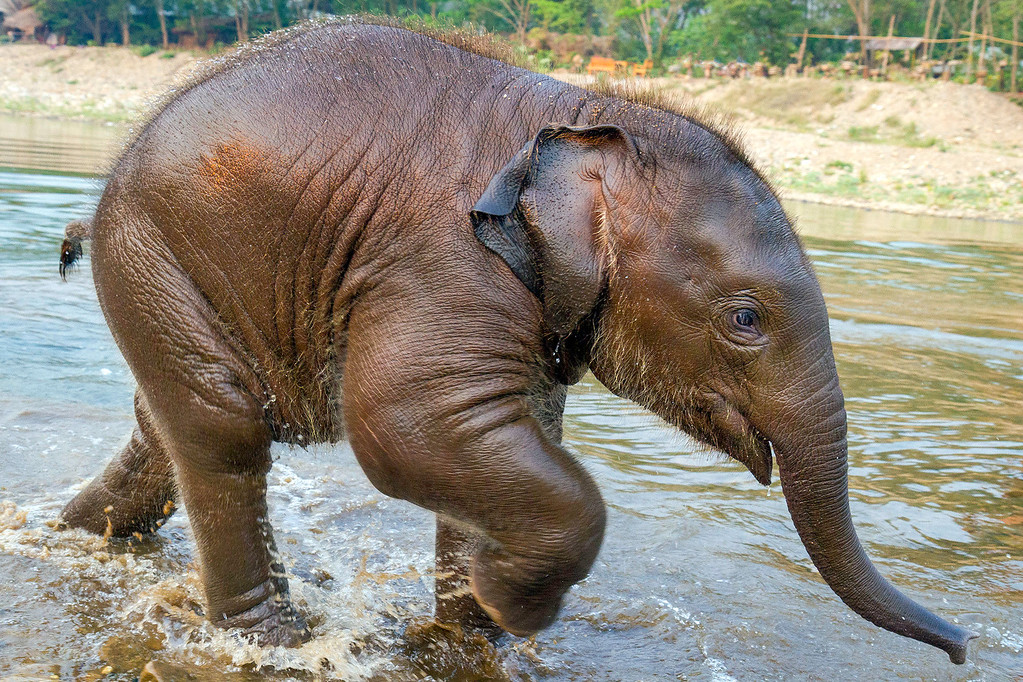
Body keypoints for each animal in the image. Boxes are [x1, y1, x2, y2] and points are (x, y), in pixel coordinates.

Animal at [58, 17, 975, 664]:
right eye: (745, 320)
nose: (964, 647)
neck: (590, 118)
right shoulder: (445, 261)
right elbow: (408, 425)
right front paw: (512, 606)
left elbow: (496, 441)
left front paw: (470, 633)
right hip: (149, 248)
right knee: (224, 428)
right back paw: (275, 646)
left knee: (170, 425)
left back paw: (76, 536)